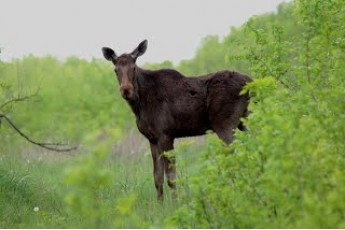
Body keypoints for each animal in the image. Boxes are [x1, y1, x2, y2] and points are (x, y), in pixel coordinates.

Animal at [101, 39, 250, 199]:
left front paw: (175, 202)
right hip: (244, 121)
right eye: (115, 70)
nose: (126, 90)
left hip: (225, 125)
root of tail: (251, 81)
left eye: (134, 68)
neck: (139, 106)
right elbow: (157, 179)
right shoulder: (152, 139)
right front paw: (160, 204)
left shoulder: (166, 135)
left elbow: (171, 178)